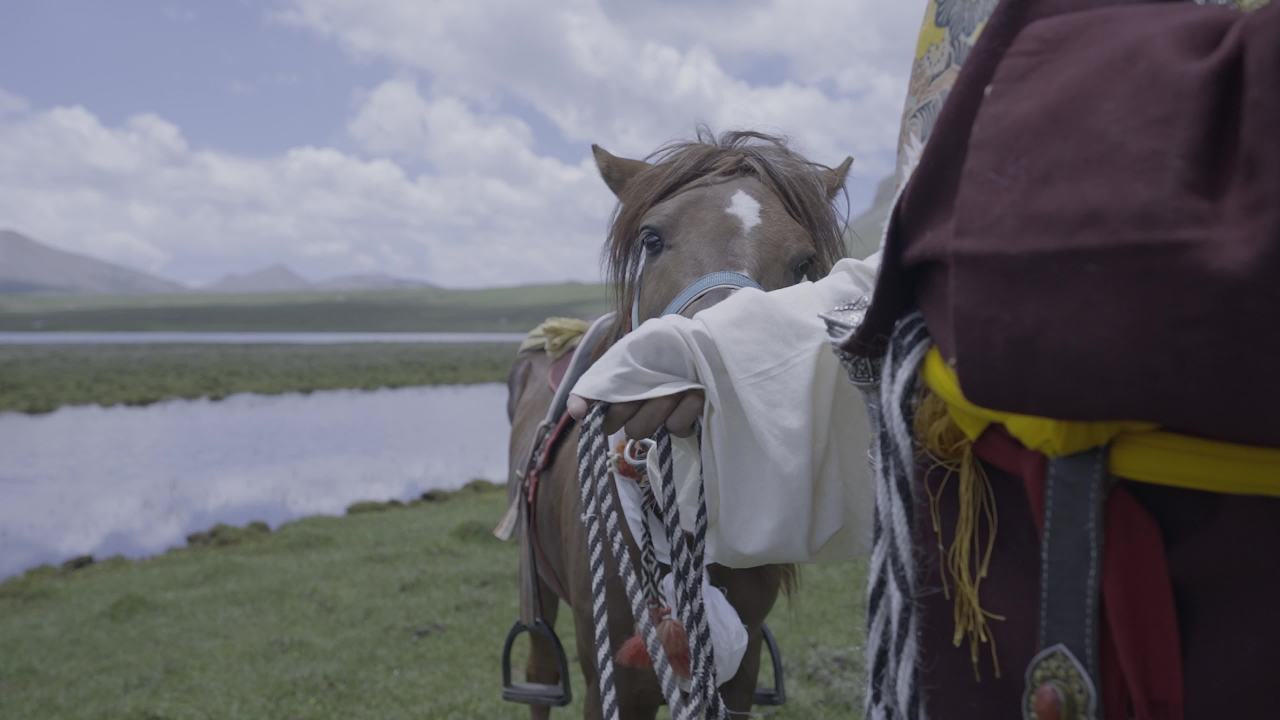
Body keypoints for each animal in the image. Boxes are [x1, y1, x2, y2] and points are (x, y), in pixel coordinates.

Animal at [505, 129, 852, 719]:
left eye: (805, 262)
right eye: (652, 238)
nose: (713, 373)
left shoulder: (740, 673)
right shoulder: (616, 680)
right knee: (539, 672)